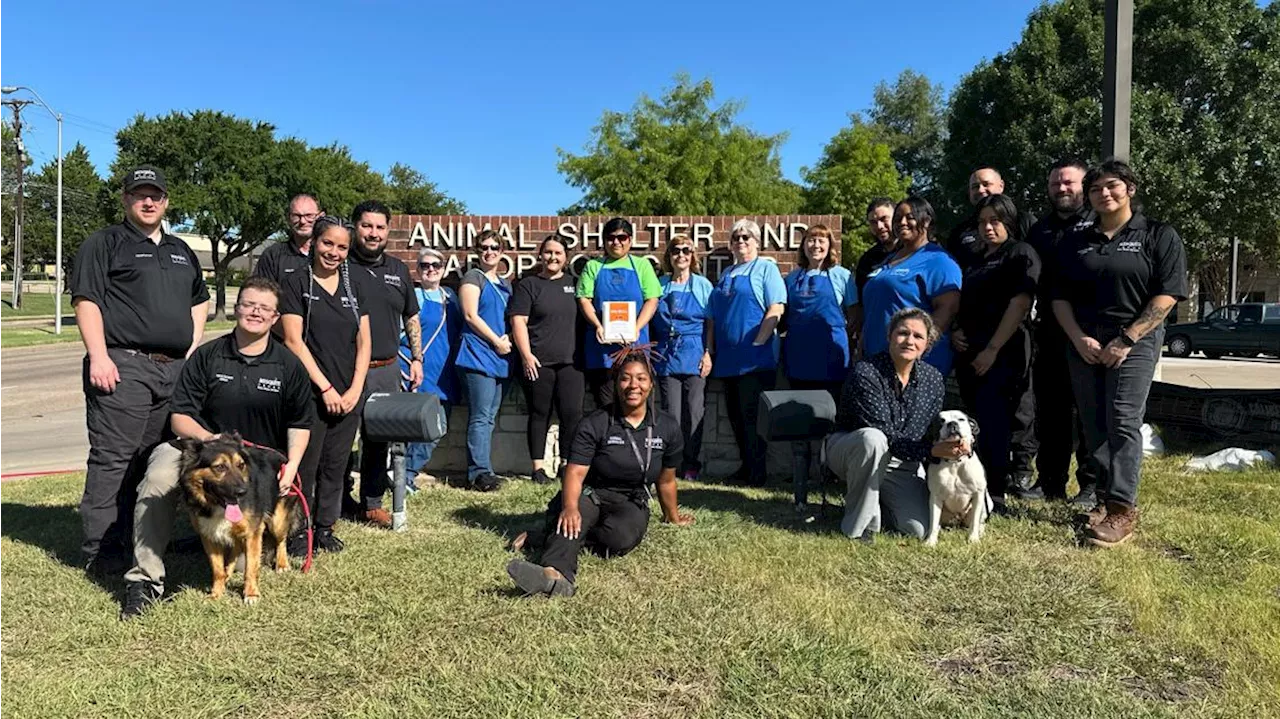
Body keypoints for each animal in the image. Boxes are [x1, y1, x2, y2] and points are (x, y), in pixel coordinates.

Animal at [176, 429, 295, 603]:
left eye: (241, 465)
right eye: (220, 467)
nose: (243, 491)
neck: (218, 506)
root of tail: (280, 454)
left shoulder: (253, 533)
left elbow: (250, 567)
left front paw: (251, 594)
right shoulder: (209, 536)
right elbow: (217, 570)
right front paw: (216, 593)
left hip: (277, 521)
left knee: (281, 540)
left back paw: (282, 564)